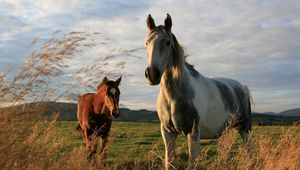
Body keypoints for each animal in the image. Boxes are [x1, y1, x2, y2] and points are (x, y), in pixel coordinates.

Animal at [144, 13, 252, 169]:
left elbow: (192, 162)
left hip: (245, 129)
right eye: (147, 43)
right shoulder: (167, 132)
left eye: (168, 42)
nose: (152, 74)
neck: (173, 97)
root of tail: (242, 87)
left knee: (250, 151)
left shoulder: (193, 132)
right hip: (223, 133)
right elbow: (168, 162)